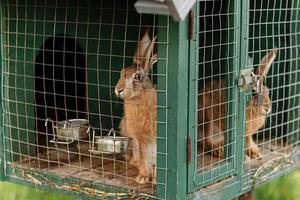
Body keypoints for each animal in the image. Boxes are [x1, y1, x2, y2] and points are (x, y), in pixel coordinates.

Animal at [114, 29, 157, 184]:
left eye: (137, 77)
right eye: (121, 73)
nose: (118, 90)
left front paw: (155, 179)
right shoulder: (139, 138)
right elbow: (144, 157)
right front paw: (143, 177)